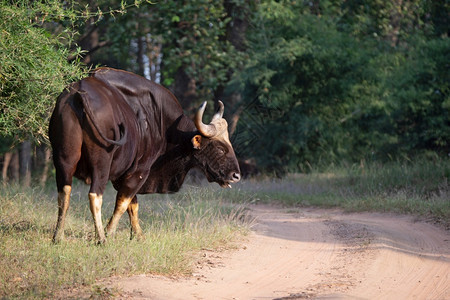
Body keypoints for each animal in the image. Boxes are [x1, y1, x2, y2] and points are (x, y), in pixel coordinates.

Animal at [47, 68, 241, 244]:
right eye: (220, 148)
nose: (236, 175)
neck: (161, 124)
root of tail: (79, 95)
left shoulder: (125, 175)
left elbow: (132, 205)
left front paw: (137, 235)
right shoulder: (139, 171)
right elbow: (123, 203)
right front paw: (109, 233)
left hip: (64, 159)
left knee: (64, 192)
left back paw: (58, 236)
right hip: (101, 164)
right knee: (95, 195)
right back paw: (101, 239)